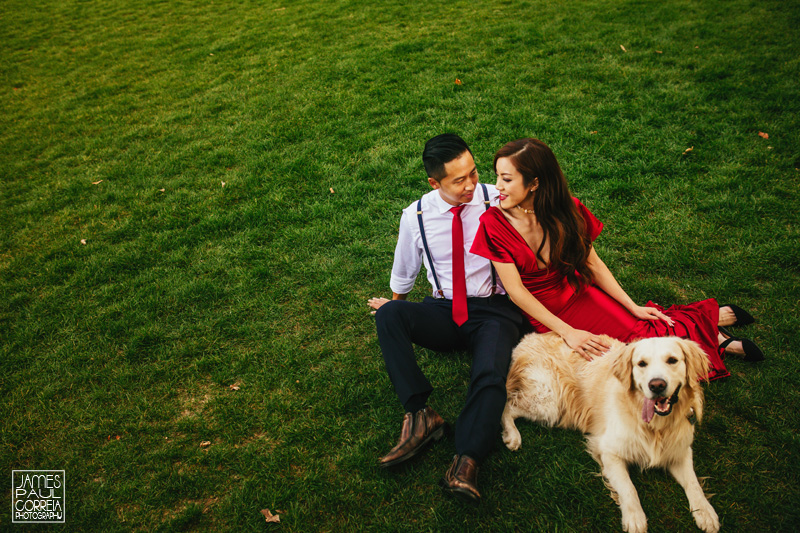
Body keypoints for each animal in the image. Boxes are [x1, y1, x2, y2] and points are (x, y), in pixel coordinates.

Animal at [504, 332, 720, 532]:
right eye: (642, 363)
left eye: (672, 360)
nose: (657, 385)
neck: (655, 427)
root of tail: (528, 338)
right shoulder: (609, 452)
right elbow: (628, 488)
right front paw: (635, 519)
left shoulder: (680, 451)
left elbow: (693, 483)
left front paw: (706, 512)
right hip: (550, 402)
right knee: (508, 405)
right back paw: (512, 436)